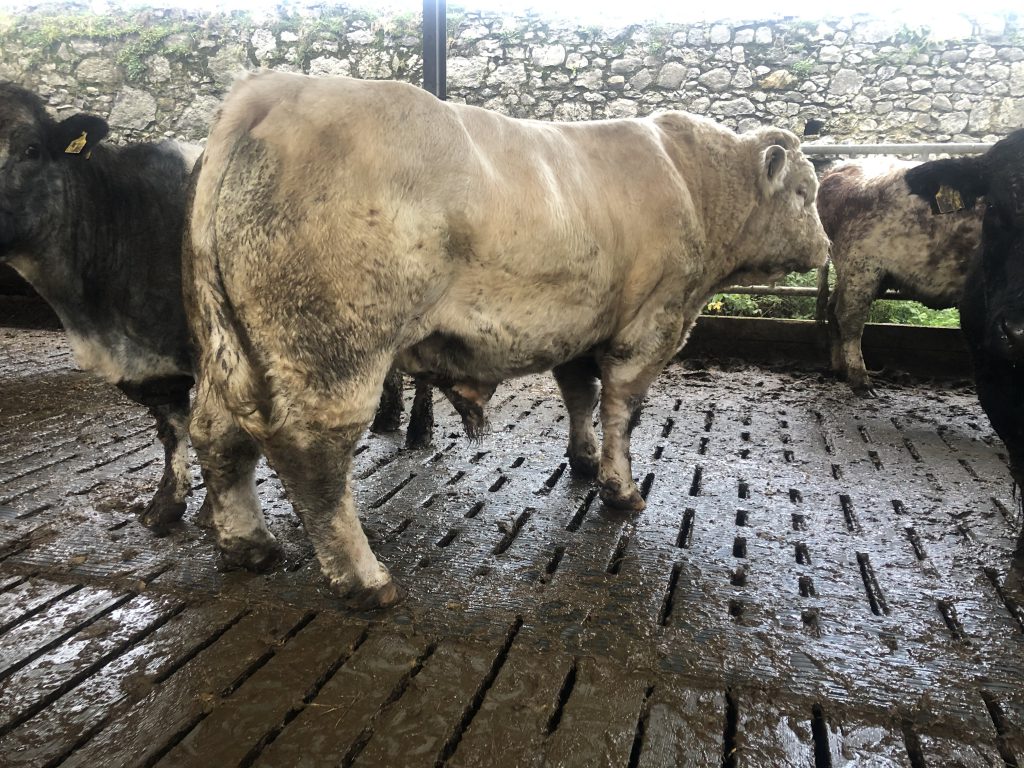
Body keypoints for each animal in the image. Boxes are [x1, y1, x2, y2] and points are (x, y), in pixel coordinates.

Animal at [185, 71, 830, 608]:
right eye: (805, 192)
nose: (825, 248)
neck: (695, 183)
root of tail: (275, 89)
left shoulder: (581, 324)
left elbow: (579, 394)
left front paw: (583, 460)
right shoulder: (652, 323)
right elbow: (622, 409)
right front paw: (621, 488)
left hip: (230, 349)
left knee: (216, 433)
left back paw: (248, 544)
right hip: (332, 350)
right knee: (313, 455)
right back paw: (365, 579)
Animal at [815, 159, 981, 394]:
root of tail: (841, 167)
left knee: (832, 307)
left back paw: (840, 369)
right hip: (861, 265)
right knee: (849, 316)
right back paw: (860, 380)